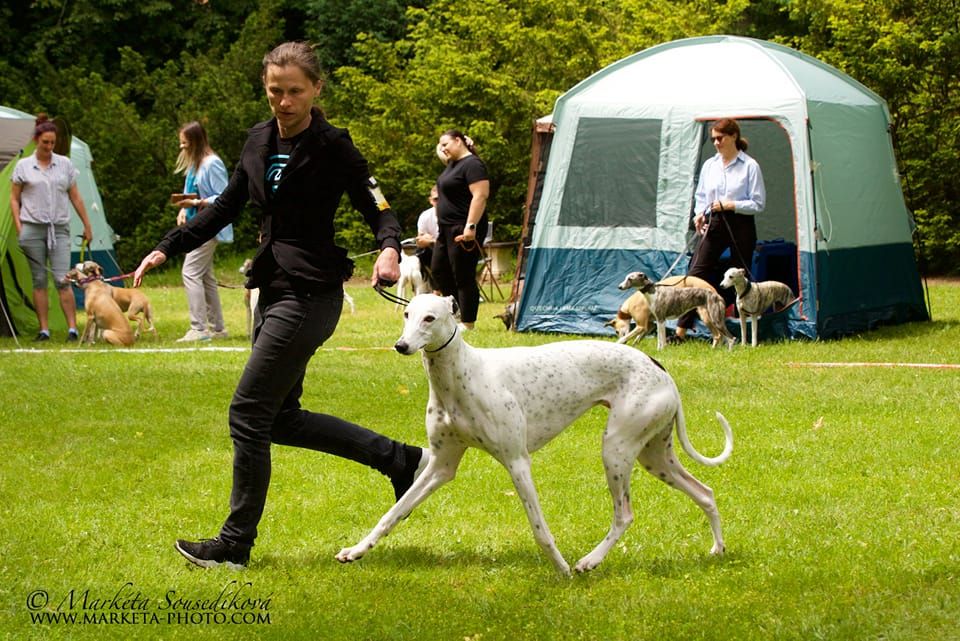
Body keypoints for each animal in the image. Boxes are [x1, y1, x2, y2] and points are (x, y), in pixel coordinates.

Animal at [338, 292, 736, 572]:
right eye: (406, 314)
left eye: (430, 317)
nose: (401, 346)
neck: (462, 374)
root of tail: (659, 367)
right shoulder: (441, 465)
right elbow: (393, 513)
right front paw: (356, 551)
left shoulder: (517, 462)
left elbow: (539, 529)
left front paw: (561, 569)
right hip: (654, 454)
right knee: (705, 492)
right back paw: (717, 548)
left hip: (617, 448)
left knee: (624, 514)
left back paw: (589, 561)